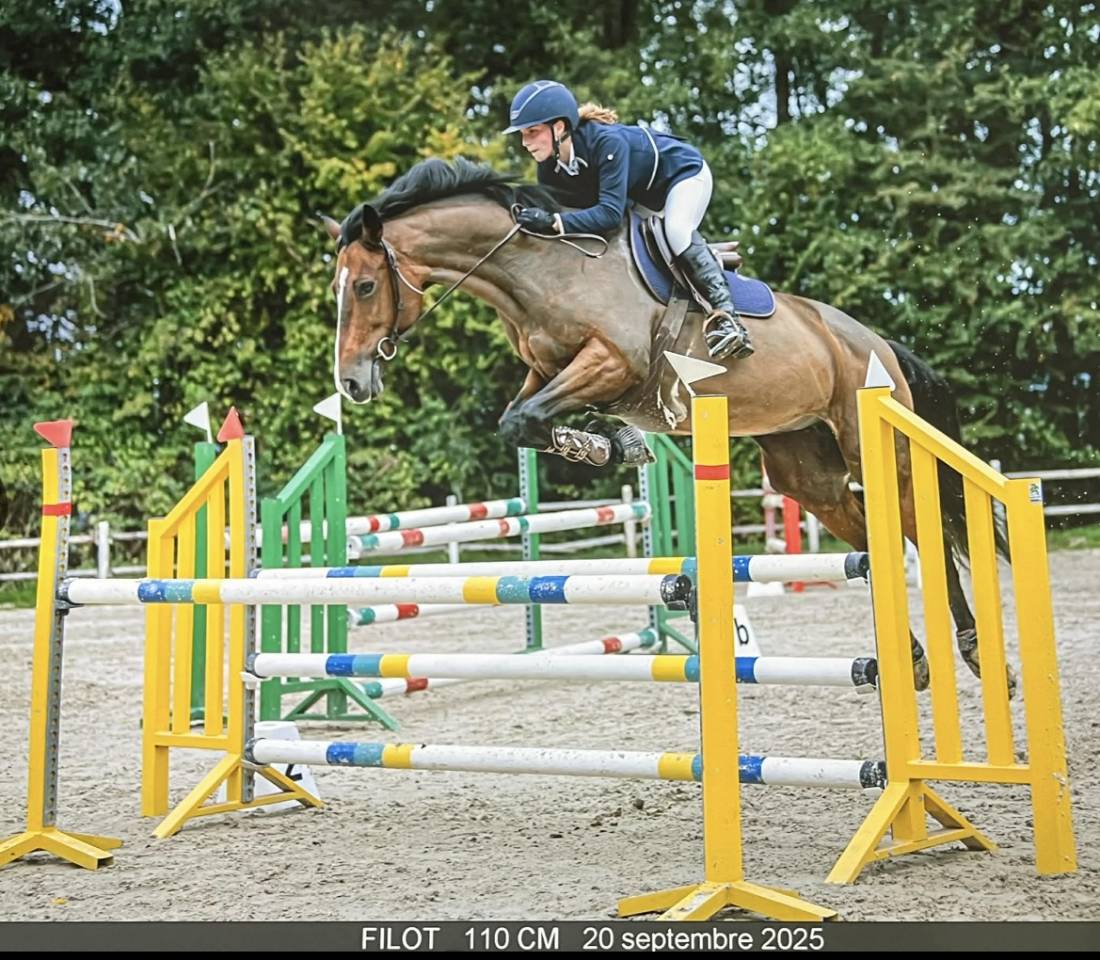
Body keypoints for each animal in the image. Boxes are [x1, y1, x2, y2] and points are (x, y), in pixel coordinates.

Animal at [323, 156, 1010, 694]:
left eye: (364, 286)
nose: (351, 383)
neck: (536, 272)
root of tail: (874, 341)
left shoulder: (611, 362)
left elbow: (530, 418)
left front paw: (603, 442)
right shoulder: (547, 372)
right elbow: (518, 421)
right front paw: (614, 443)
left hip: (877, 446)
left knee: (924, 535)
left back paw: (979, 656)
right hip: (805, 469)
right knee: (871, 540)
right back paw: (912, 661)